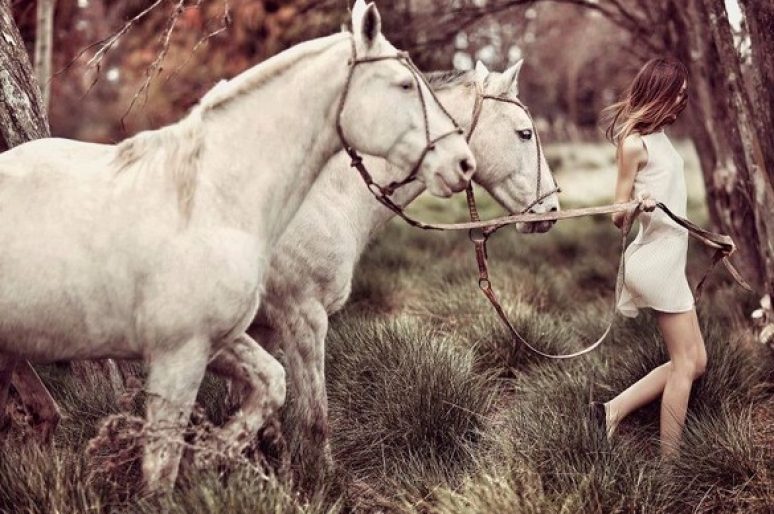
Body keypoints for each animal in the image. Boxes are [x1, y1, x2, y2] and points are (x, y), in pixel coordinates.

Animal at [0, 1, 476, 488]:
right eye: (404, 84)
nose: (462, 163)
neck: (210, 198)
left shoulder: (227, 338)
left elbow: (271, 385)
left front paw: (218, 458)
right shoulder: (189, 351)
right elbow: (166, 464)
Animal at [252, 60, 560, 480]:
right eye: (525, 133)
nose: (552, 210)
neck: (316, 196)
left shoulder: (265, 328)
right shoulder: (303, 319)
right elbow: (314, 417)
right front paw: (323, 481)